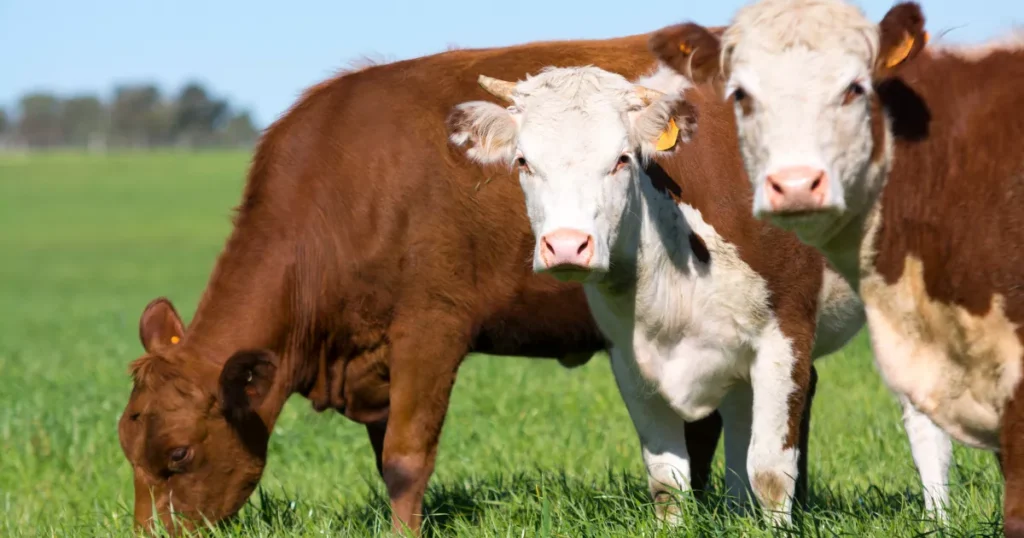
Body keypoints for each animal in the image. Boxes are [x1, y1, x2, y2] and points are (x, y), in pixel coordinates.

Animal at [448, 60, 950, 522]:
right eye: (523, 162)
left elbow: (770, 470)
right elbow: (667, 479)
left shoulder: (783, 336)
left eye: (622, 159)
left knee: (923, 417)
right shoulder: (630, 360)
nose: (568, 245)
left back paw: (937, 516)